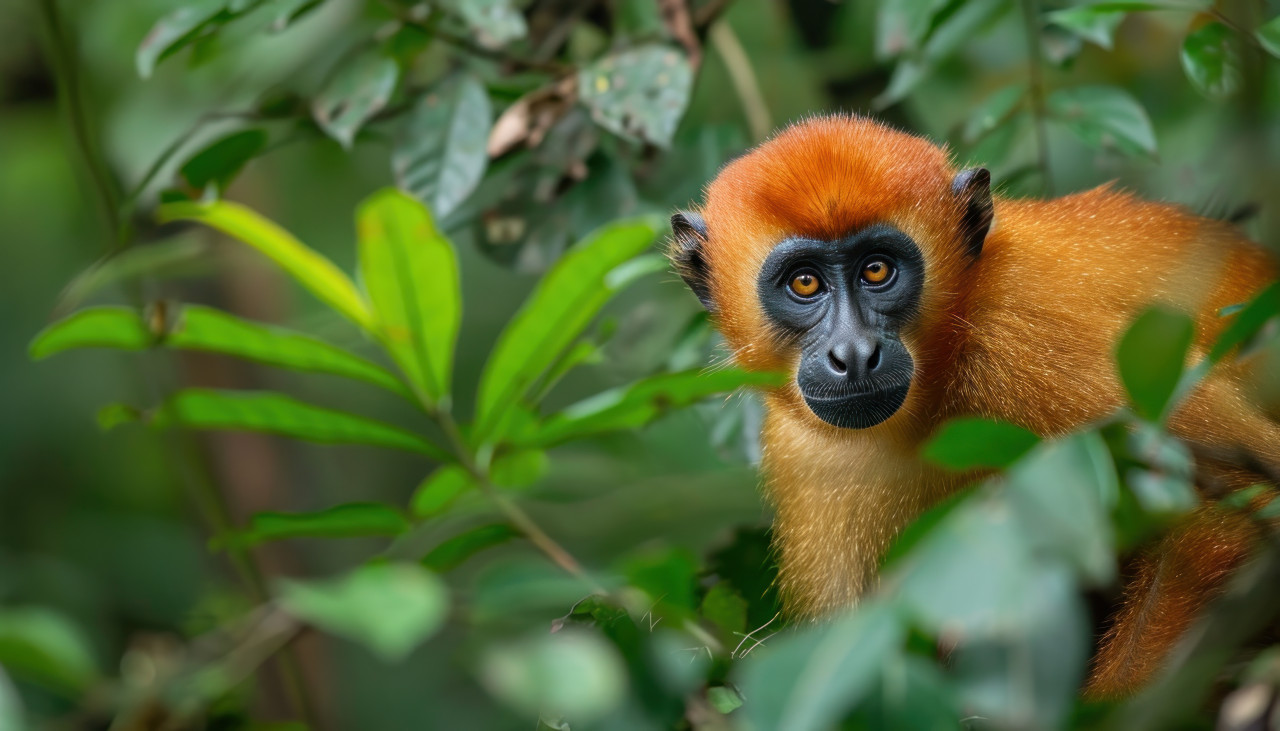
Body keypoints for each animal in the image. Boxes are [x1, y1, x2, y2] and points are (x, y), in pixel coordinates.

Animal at [668, 114, 1279, 698]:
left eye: (876, 270)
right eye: (804, 283)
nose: (854, 354)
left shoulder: (1030, 339)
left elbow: (1226, 525)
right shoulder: (803, 454)